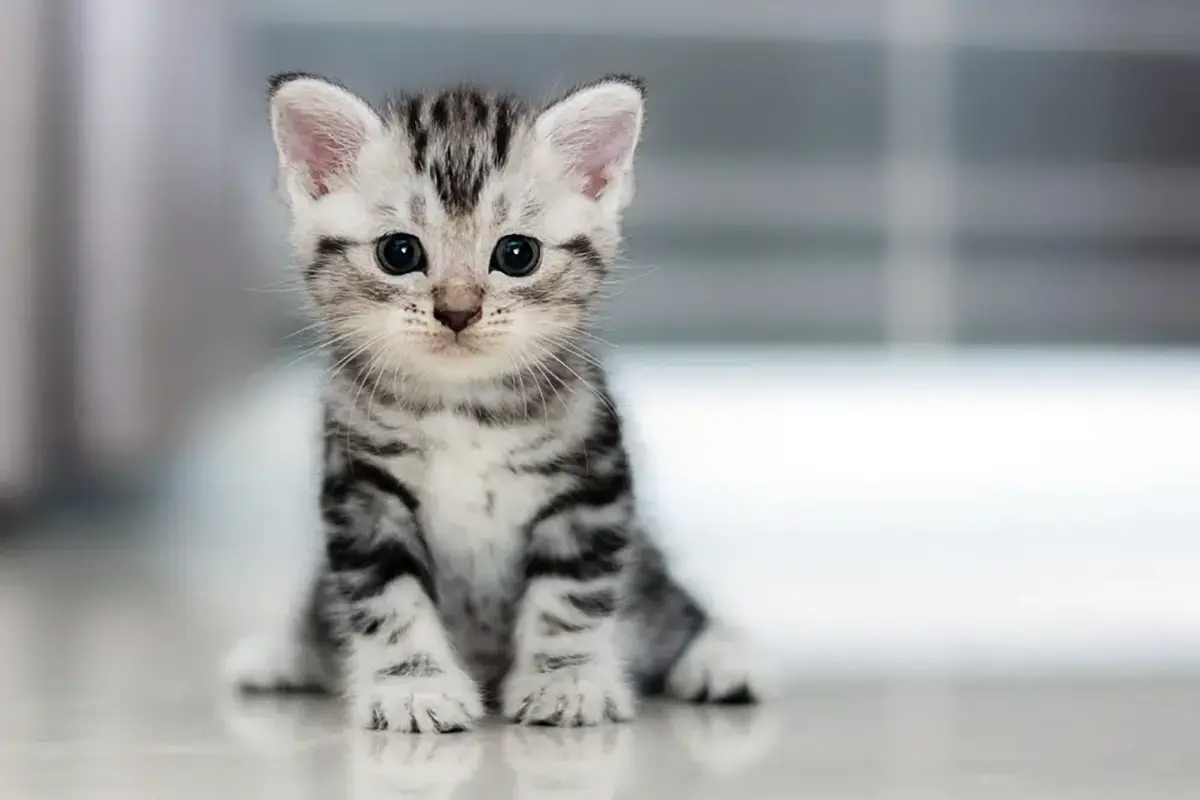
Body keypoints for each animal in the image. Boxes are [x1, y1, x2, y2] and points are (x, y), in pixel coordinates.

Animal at [225, 73, 768, 734]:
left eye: (517, 255)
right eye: (399, 253)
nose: (458, 312)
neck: (464, 409)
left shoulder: (590, 484)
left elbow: (570, 599)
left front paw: (566, 683)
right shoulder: (361, 492)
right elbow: (389, 601)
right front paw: (415, 688)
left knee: (670, 608)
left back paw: (721, 660)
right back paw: (280, 655)